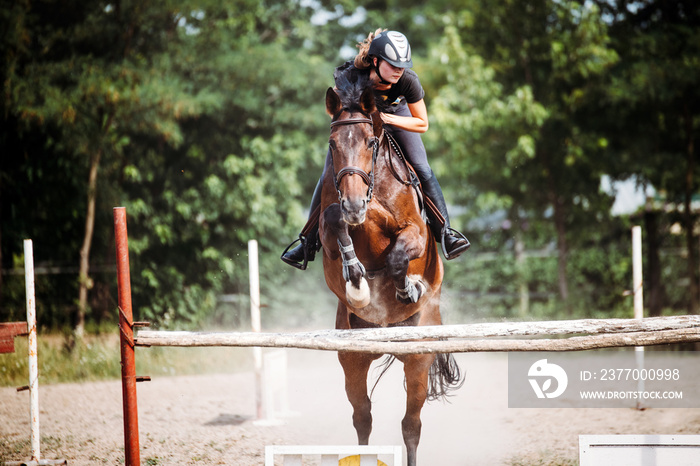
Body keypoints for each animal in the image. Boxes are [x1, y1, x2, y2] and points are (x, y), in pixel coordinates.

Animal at [318, 76, 462, 466]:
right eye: (333, 145)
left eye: (370, 142)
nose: (354, 204)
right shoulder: (330, 232)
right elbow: (334, 222)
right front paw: (356, 281)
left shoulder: (417, 234)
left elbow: (399, 256)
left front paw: (406, 289)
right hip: (352, 357)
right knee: (362, 416)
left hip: (418, 357)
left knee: (411, 424)